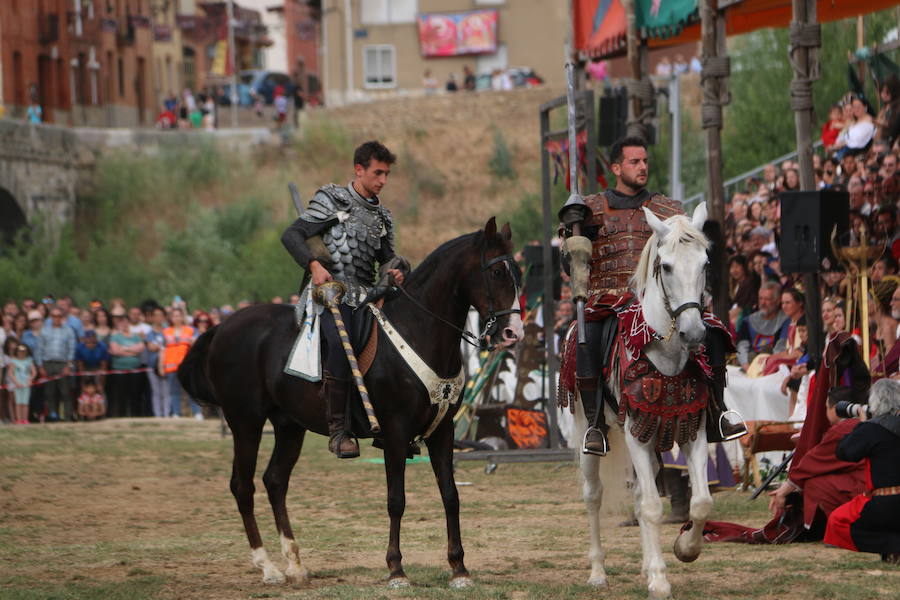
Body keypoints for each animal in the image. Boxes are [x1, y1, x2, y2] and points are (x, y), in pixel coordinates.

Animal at [178, 218, 520, 588]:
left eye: (517, 271)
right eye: (497, 272)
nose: (512, 333)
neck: (418, 331)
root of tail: (222, 327)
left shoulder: (442, 432)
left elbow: (451, 496)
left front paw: (459, 569)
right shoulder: (395, 434)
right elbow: (396, 500)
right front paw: (396, 570)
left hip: (288, 425)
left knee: (275, 481)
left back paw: (294, 564)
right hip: (246, 422)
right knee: (243, 486)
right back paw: (267, 567)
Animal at [576, 203, 716, 600]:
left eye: (705, 263)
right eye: (665, 266)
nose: (694, 332)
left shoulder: (692, 431)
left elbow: (701, 502)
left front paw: (684, 550)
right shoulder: (634, 435)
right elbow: (653, 506)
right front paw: (659, 580)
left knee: (641, 493)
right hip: (589, 431)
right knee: (593, 495)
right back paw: (598, 572)